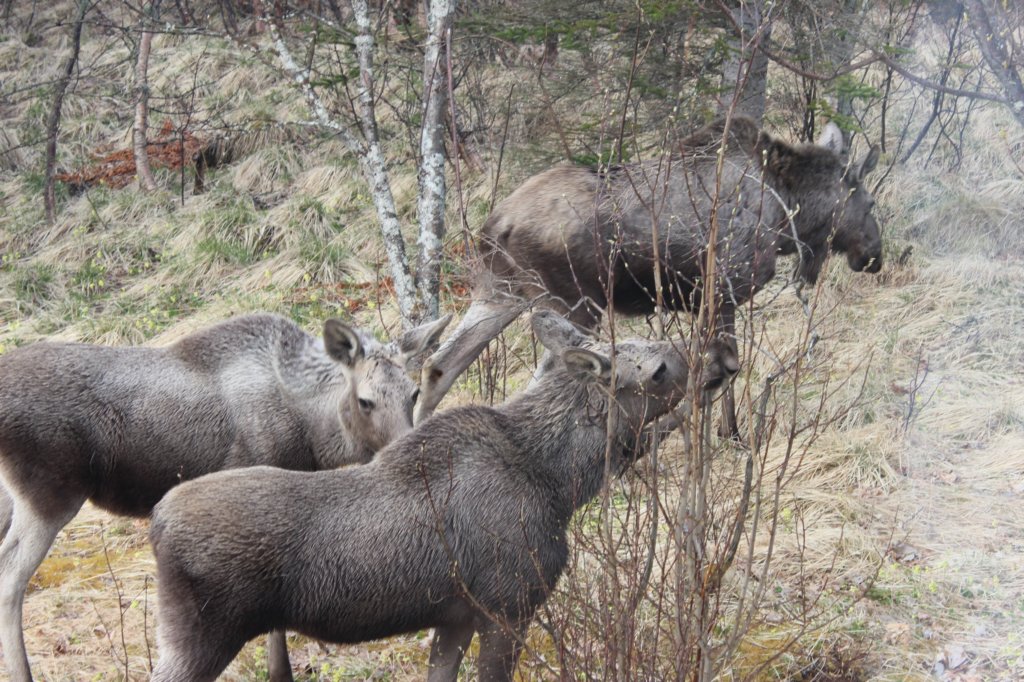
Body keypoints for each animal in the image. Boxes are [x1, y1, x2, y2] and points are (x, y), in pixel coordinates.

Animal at [0, 309, 452, 679]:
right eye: (365, 400)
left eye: (414, 392)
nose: (409, 447)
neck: (315, 432)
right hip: (49, 496)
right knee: (10, 579)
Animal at [148, 311, 741, 679]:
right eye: (659, 369)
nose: (725, 353)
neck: (562, 485)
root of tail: (156, 524)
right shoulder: (509, 606)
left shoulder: (453, 617)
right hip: (200, 636)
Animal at [411, 114, 884, 428]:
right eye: (870, 201)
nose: (875, 254)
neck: (788, 215)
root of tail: (495, 224)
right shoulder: (723, 290)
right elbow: (725, 370)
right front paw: (724, 435)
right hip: (574, 301)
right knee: (545, 376)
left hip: (500, 291)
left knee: (438, 365)